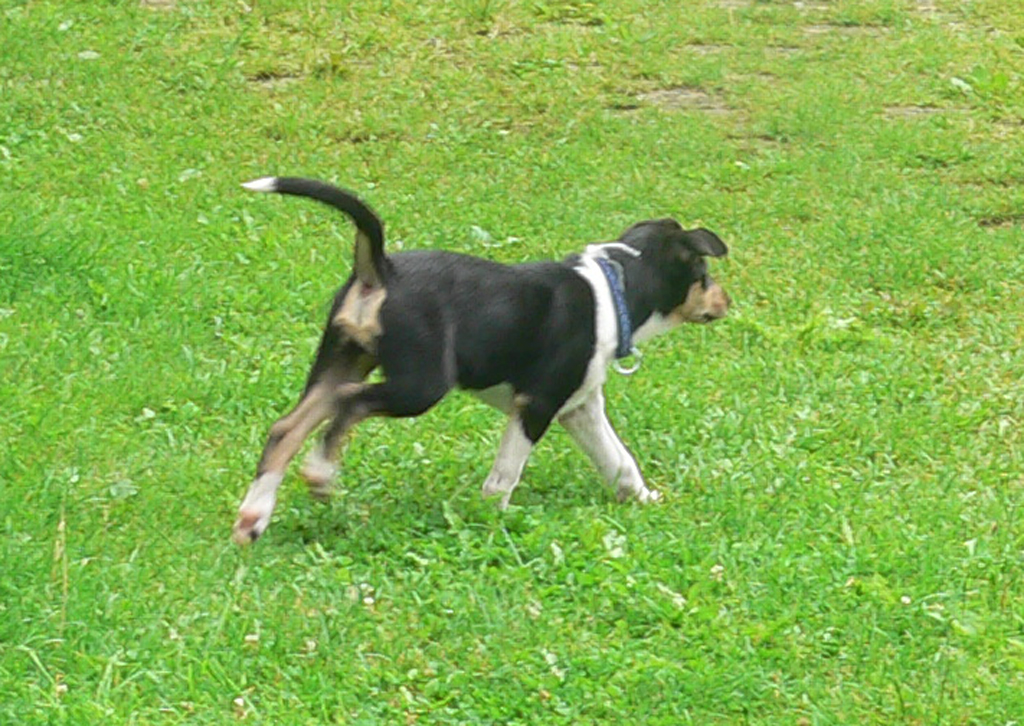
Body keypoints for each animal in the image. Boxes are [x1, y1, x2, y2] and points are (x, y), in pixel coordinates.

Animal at [232, 177, 730, 544]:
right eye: (705, 274)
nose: (726, 301)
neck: (614, 292)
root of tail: (381, 269)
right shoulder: (537, 404)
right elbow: (505, 474)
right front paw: (495, 519)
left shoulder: (581, 408)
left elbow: (619, 461)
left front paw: (645, 499)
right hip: (420, 383)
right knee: (348, 403)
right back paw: (319, 473)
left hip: (343, 356)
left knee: (287, 428)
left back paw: (253, 518)